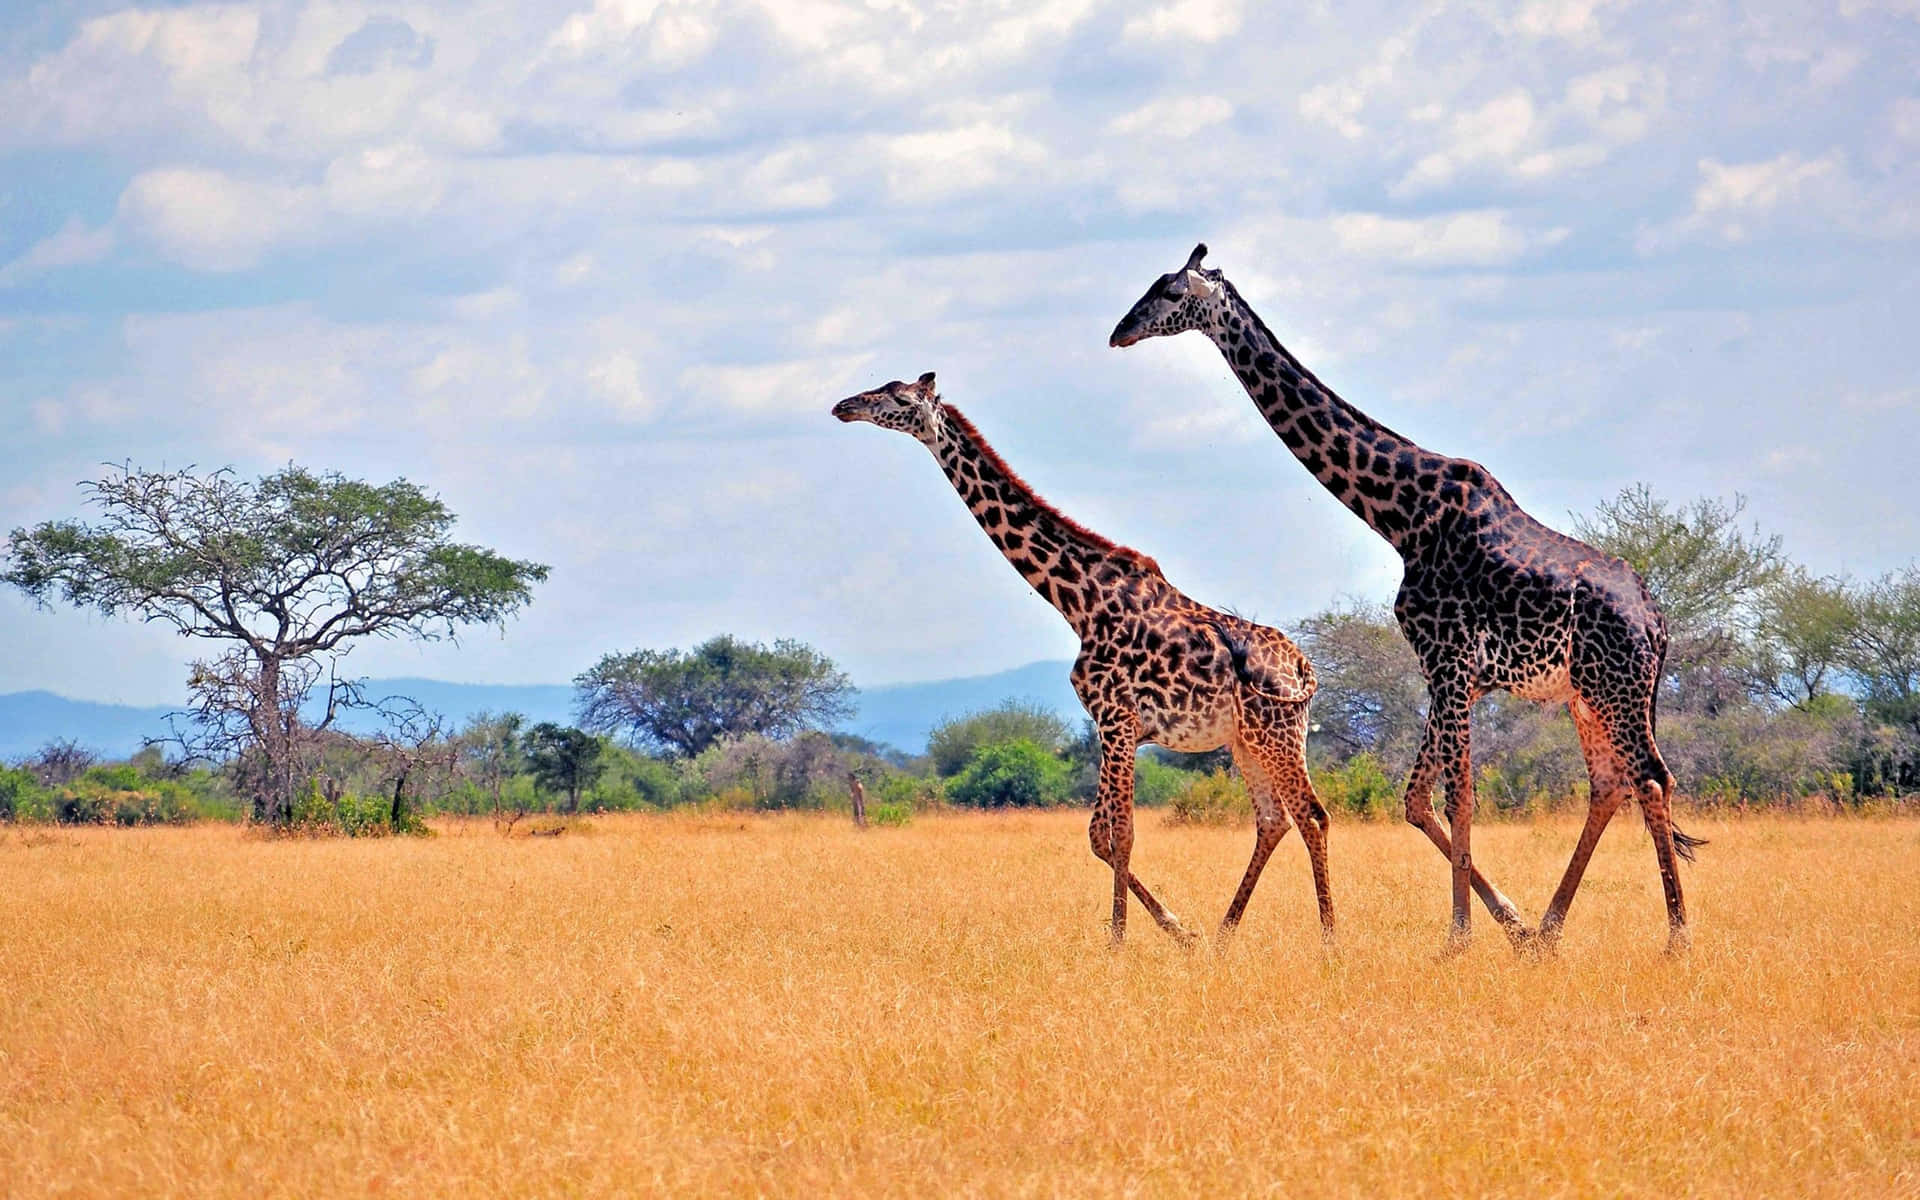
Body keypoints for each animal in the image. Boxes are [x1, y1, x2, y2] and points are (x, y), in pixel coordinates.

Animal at [1113, 245, 1712, 956]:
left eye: (1172, 292)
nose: (1119, 333)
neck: (1401, 516)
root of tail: (1657, 623)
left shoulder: (1447, 662)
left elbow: (1457, 798)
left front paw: (1460, 936)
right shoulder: (1456, 676)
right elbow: (1418, 799)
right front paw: (1507, 924)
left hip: (1613, 686)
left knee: (1649, 777)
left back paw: (1677, 937)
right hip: (1586, 695)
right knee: (1611, 783)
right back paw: (1549, 928)